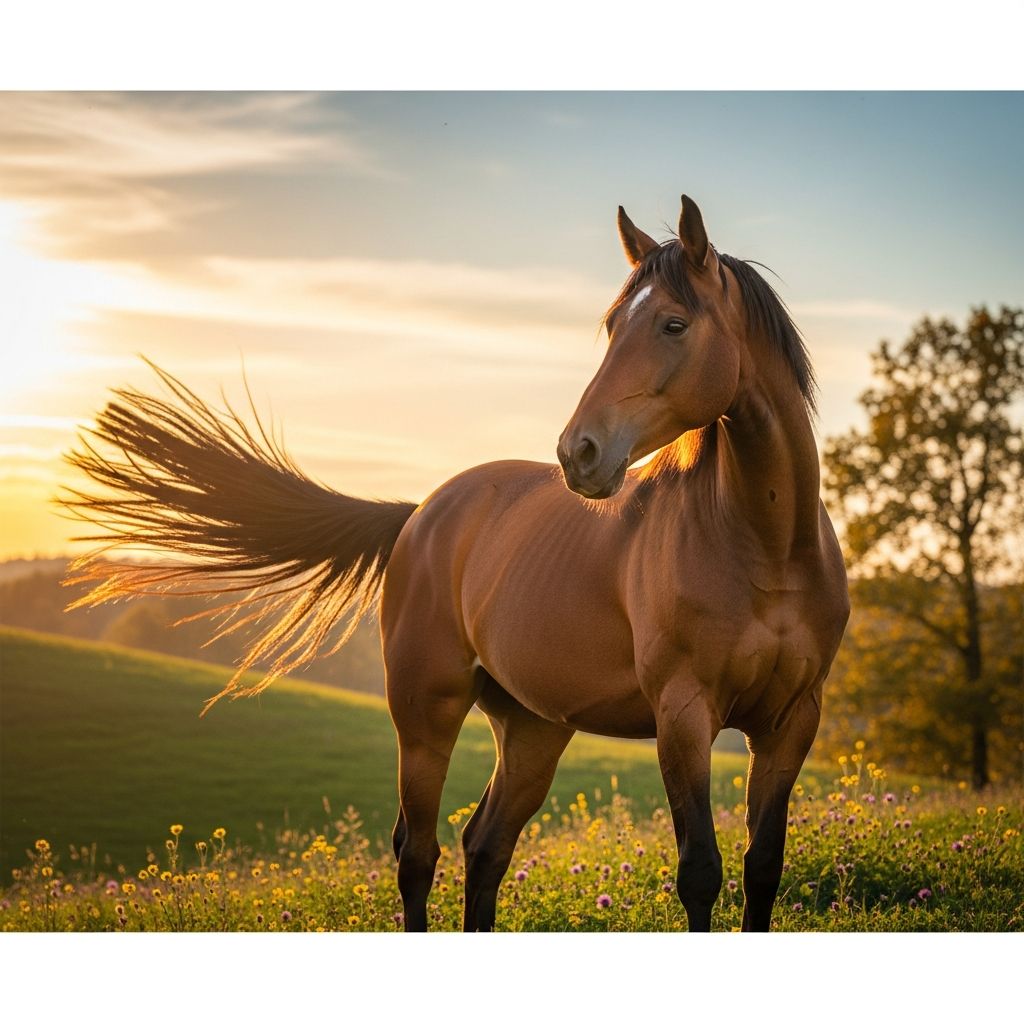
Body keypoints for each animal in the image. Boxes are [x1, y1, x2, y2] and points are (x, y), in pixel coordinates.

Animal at [63, 194, 850, 932]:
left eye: (674, 325)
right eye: (610, 327)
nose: (580, 452)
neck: (764, 545)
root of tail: (420, 514)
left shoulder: (791, 723)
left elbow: (762, 868)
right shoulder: (683, 717)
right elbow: (700, 874)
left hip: (533, 728)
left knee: (485, 845)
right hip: (425, 713)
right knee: (419, 853)